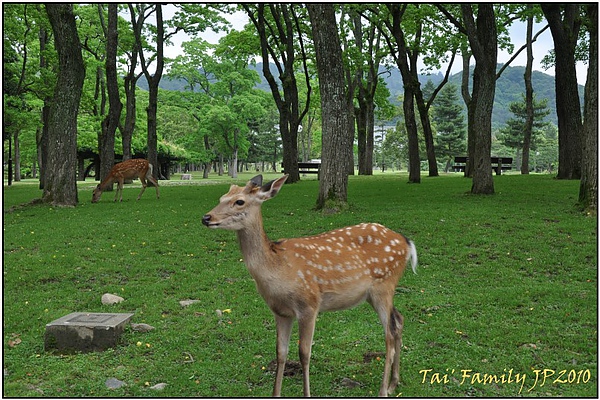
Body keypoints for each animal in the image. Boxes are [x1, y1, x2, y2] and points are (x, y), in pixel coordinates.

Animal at [203, 175, 418, 396]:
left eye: (239, 201)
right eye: (221, 197)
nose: (206, 218)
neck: (277, 269)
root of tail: (406, 242)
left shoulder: (309, 305)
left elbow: (304, 354)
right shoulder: (280, 312)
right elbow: (281, 353)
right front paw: (275, 393)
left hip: (384, 285)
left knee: (389, 335)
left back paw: (383, 390)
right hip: (375, 293)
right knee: (398, 320)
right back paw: (394, 383)